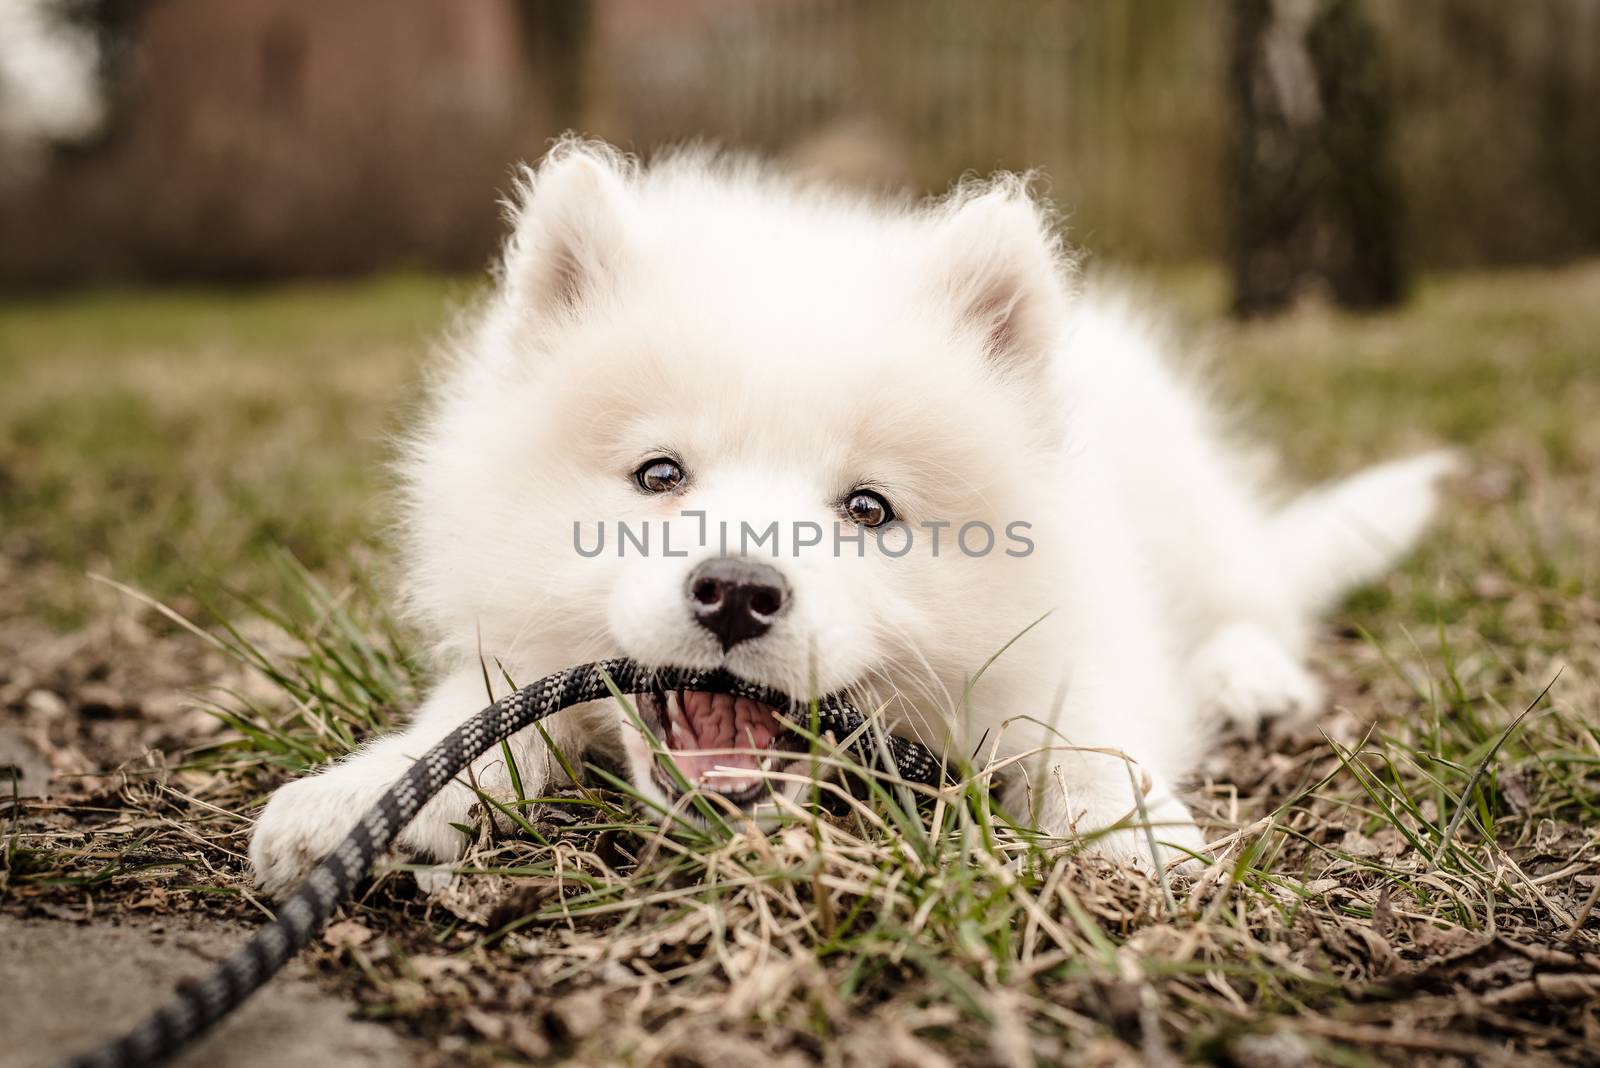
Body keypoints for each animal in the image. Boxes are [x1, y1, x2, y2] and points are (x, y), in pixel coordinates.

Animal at [246, 139, 1452, 895]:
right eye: (658, 475)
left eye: (869, 508)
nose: (737, 590)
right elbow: (474, 717)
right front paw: (358, 800)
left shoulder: (1086, 635)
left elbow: (1089, 735)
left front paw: (1136, 835)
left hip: (1192, 519)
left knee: (1254, 601)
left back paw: (1252, 678)